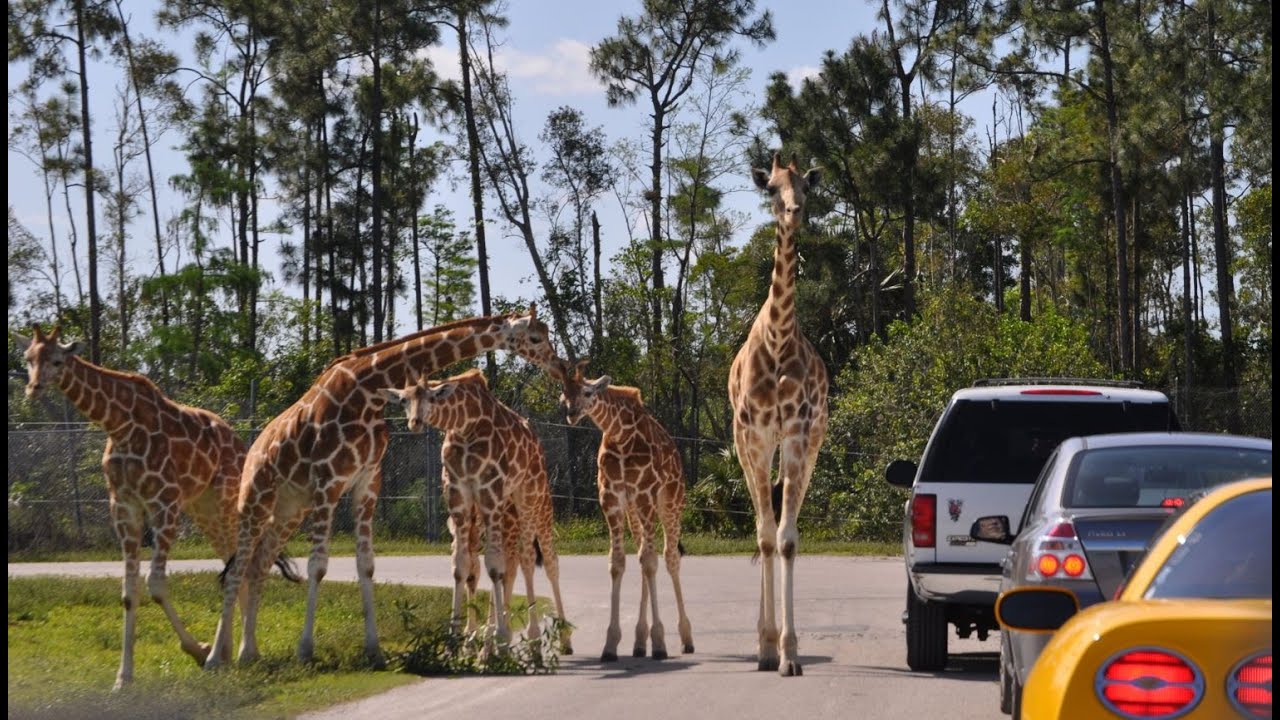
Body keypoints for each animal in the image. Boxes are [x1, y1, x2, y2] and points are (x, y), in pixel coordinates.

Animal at [11, 324, 252, 681]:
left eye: (57, 360)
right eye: (27, 358)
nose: (33, 388)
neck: (119, 426)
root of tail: (237, 440)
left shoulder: (165, 503)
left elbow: (156, 584)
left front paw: (198, 649)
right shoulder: (123, 506)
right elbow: (129, 592)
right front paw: (123, 677)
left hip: (224, 497)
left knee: (239, 565)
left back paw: (230, 654)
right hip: (203, 507)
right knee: (232, 563)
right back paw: (233, 652)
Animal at [381, 366, 573, 653]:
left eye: (432, 397)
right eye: (404, 400)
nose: (415, 422)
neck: (465, 425)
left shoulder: (488, 491)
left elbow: (493, 566)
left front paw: (498, 636)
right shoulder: (459, 496)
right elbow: (462, 566)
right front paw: (456, 641)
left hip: (533, 499)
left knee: (541, 560)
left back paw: (552, 638)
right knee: (515, 562)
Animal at [555, 356, 696, 661]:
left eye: (587, 392)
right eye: (564, 395)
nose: (572, 413)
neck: (620, 435)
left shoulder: (645, 494)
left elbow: (652, 561)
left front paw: (660, 642)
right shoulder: (611, 498)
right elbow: (618, 562)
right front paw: (611, 644)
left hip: (670, 501)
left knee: (669, 557)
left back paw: (685, 638)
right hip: (634, 510)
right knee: (644, 555)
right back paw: (639, 642)